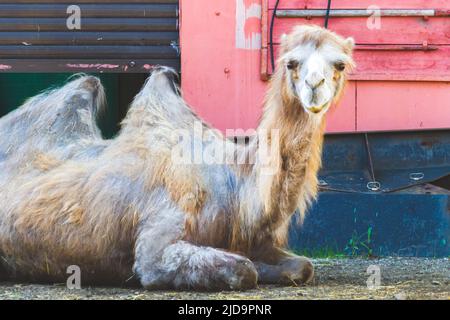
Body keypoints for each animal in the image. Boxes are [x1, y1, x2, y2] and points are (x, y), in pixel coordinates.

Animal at [0, 25, 356, 290]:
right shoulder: (159, 236)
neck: (239, 187)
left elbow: (303, 266)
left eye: (339, 65)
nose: (314, 86)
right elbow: (243, 270)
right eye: (291, 63)